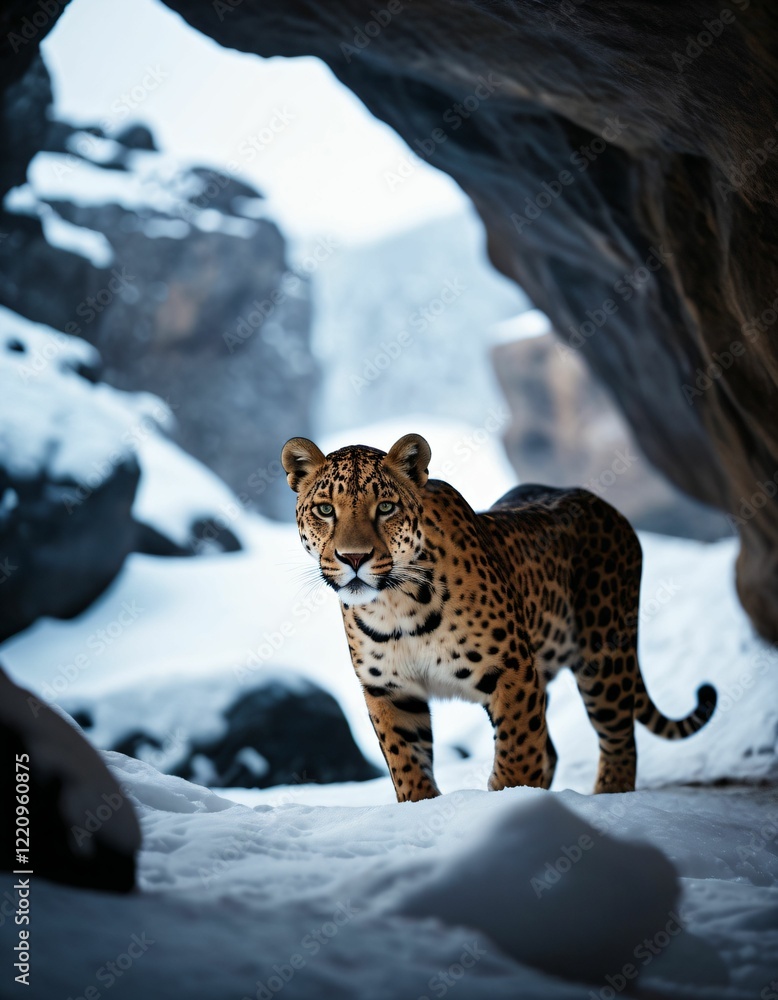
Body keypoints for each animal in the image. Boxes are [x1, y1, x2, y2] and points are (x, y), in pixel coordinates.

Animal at [281, 432, 717, 803]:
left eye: (386, 508)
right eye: (325, 510)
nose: (353, 558)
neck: (396, 606)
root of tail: (608, 508)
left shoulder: (513, 670)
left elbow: (518, 750)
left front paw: (511, 803)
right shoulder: (388, 689)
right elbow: (407, 764)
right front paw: (422, 804)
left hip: (604, 657)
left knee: (619, 739)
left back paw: (609, 798)